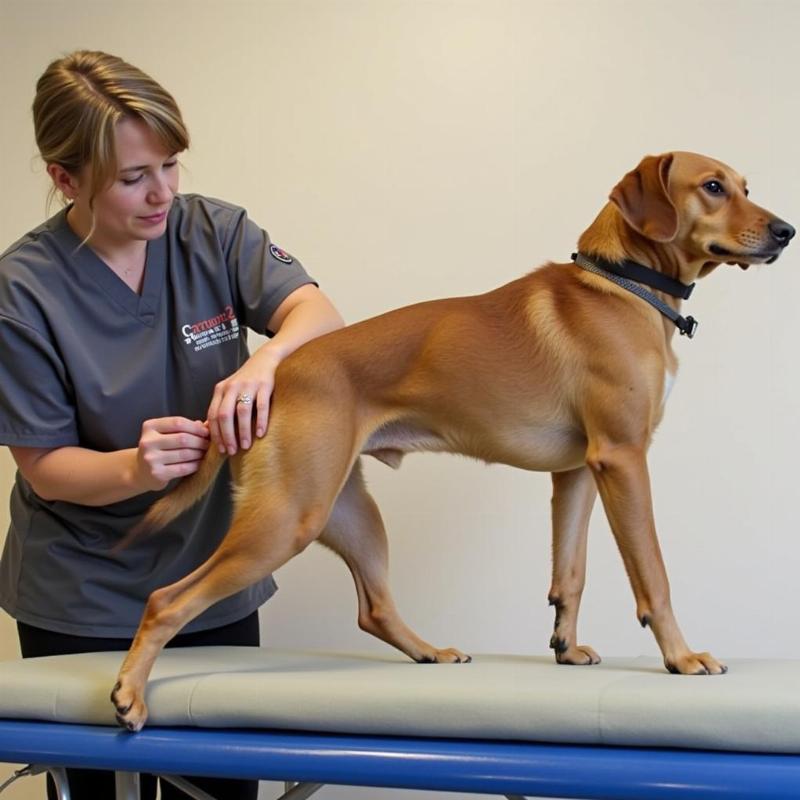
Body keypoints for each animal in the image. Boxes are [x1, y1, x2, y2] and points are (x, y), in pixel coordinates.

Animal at [111, 152, 792, 732]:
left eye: (746, 186)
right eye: (713, 186)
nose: (786, 231)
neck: (623, 284)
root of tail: (267, 377)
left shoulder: (577, 473)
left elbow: (570, 573)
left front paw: (566, 648)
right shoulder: (623, 460)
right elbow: (653, 573)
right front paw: (682, 656)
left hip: (347, 513)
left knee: (373, 608)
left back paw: (428, 652)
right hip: (285, 520)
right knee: (166, 600)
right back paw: (128, 693)